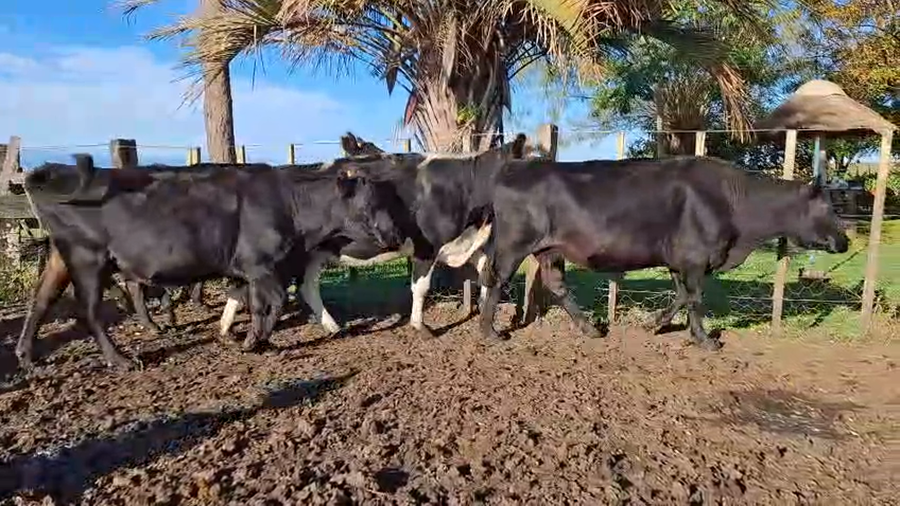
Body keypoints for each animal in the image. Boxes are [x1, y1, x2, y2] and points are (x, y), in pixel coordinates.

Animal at [20, 154, 409, 370]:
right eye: (371, 203)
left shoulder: (254, 269)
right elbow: (273, 304)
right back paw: (121, 361)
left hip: (61, 257)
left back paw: (27, 356)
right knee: (88, 311)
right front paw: (253, 342)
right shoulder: (263, 266)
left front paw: (242, 337)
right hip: (87, 258)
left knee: (41, 301)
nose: (396, 233)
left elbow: (252, 302)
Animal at [478, 156, 850, 350]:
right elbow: (695, 298)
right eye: (827, 208)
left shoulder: (678, 260)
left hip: (549, 248)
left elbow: (681, 296)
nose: (844, 241)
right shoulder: (696, 258)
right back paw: (490, 332)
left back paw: (591, 329)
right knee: (496, 277)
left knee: (556, 285)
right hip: (515, 243)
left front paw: (654, 324)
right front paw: (706, 340)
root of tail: (517, 166)